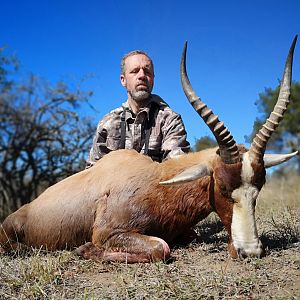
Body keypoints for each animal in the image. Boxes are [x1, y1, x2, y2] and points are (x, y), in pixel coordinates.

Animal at [0, 37, 298, 262]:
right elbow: (160, 247)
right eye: (223, 188)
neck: (155, 180)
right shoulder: (109, 232)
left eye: (258, 187)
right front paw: (84, 249)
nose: (250, 251)